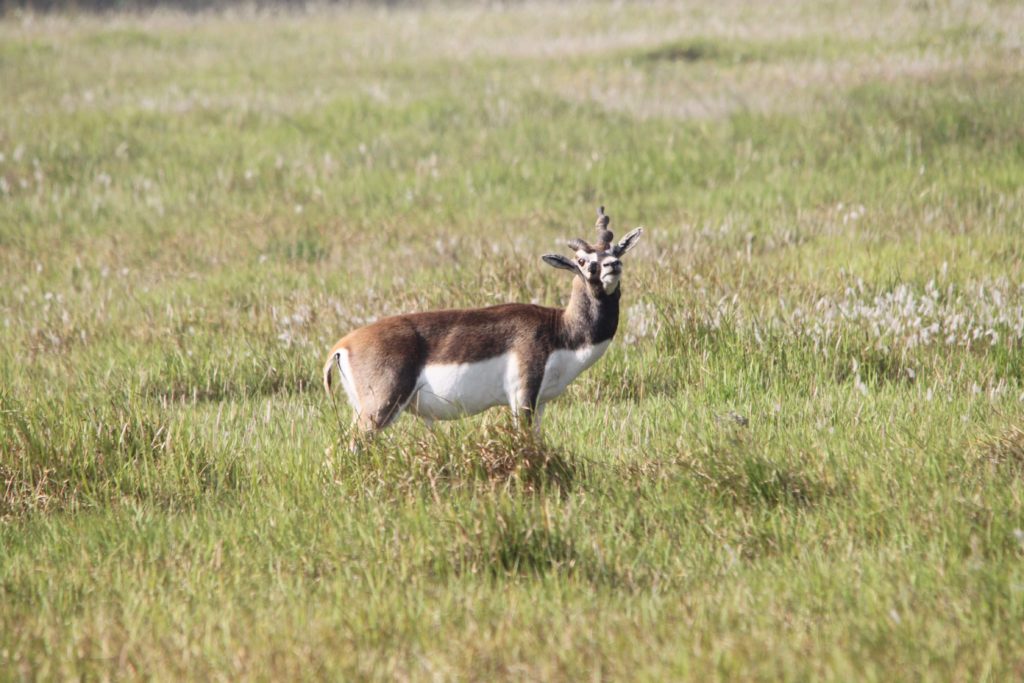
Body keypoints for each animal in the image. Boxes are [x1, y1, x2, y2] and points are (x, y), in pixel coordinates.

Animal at [321, 205, 638, 436]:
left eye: (615, 251)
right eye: (583, 262)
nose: (612, 266)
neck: (560, 329)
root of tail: (342, 345)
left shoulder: (540, 403)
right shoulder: (522, 397)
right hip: (380, 409)